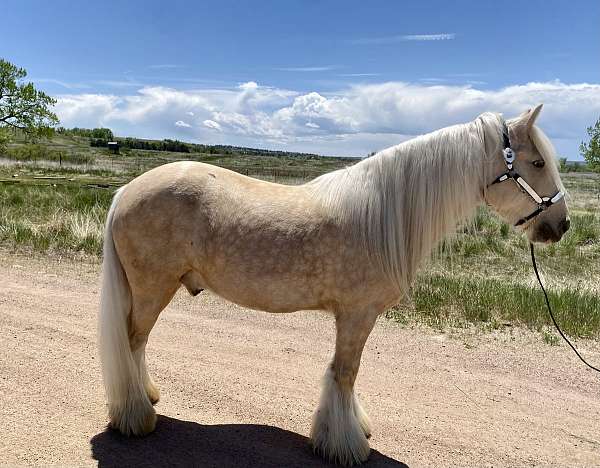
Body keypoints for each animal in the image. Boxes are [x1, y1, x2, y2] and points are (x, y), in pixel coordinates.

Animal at [97, 104, 568, 466]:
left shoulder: (355, 316)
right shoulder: (357, 315)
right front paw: (344, 446)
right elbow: (344, 373)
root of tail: (125, 192)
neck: (382, 216)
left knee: (136, 344)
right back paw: (135, 417)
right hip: (152, 289)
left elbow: (346, 377)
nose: (560, 226)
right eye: (538, 163)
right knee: (133, 341)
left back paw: (146, 398)